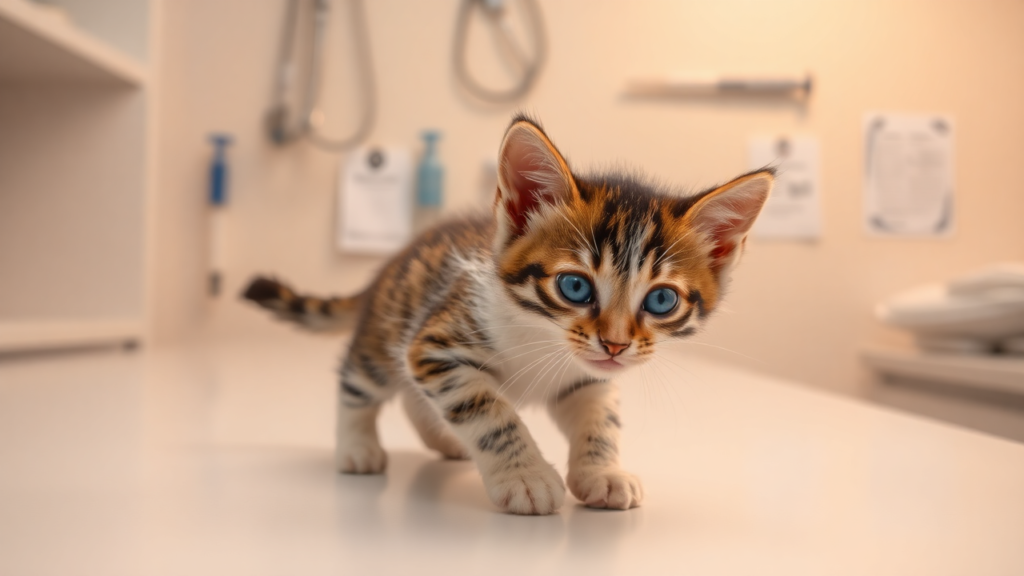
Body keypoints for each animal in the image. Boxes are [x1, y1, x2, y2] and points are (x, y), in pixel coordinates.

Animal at [243, 114, 770, 512]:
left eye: (662, 300)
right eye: (575, 286)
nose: (616, 344)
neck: (540, 334)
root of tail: (394, 258)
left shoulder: (586, 377)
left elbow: (601, 418)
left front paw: (603, 470)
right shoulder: (436, 344)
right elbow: (490, 411)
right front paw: (525, 476)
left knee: (414, 397)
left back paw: (444, 440)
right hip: (389, 329)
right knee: (359, 383)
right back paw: (357, 447)